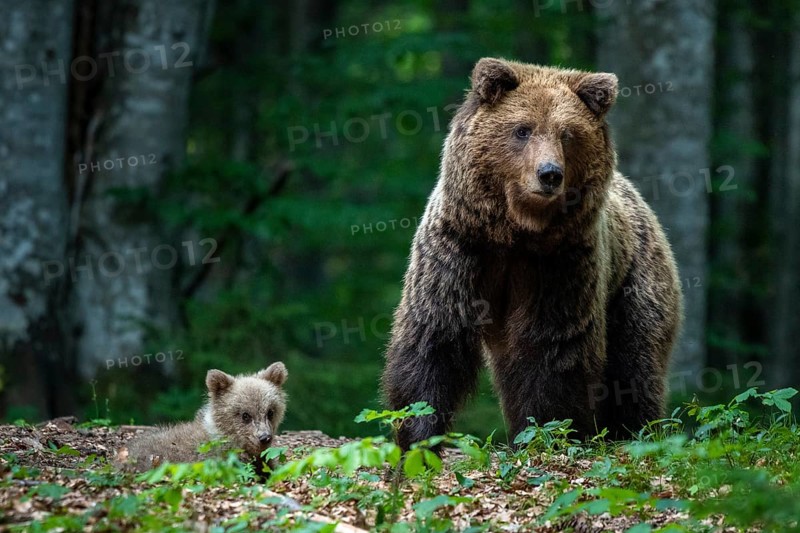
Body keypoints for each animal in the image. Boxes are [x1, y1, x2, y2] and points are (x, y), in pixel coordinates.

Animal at [382, 58, 682, 450]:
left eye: (567, 133)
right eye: (522, 129)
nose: (549, 173)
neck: (515, 233)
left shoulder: (560, 264)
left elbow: (550, 348)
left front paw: (547, 429)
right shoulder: (460, 249)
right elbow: (435, 335)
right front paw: (419, 433)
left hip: (635, 280)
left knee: (635, 361)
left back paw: (634, 431)